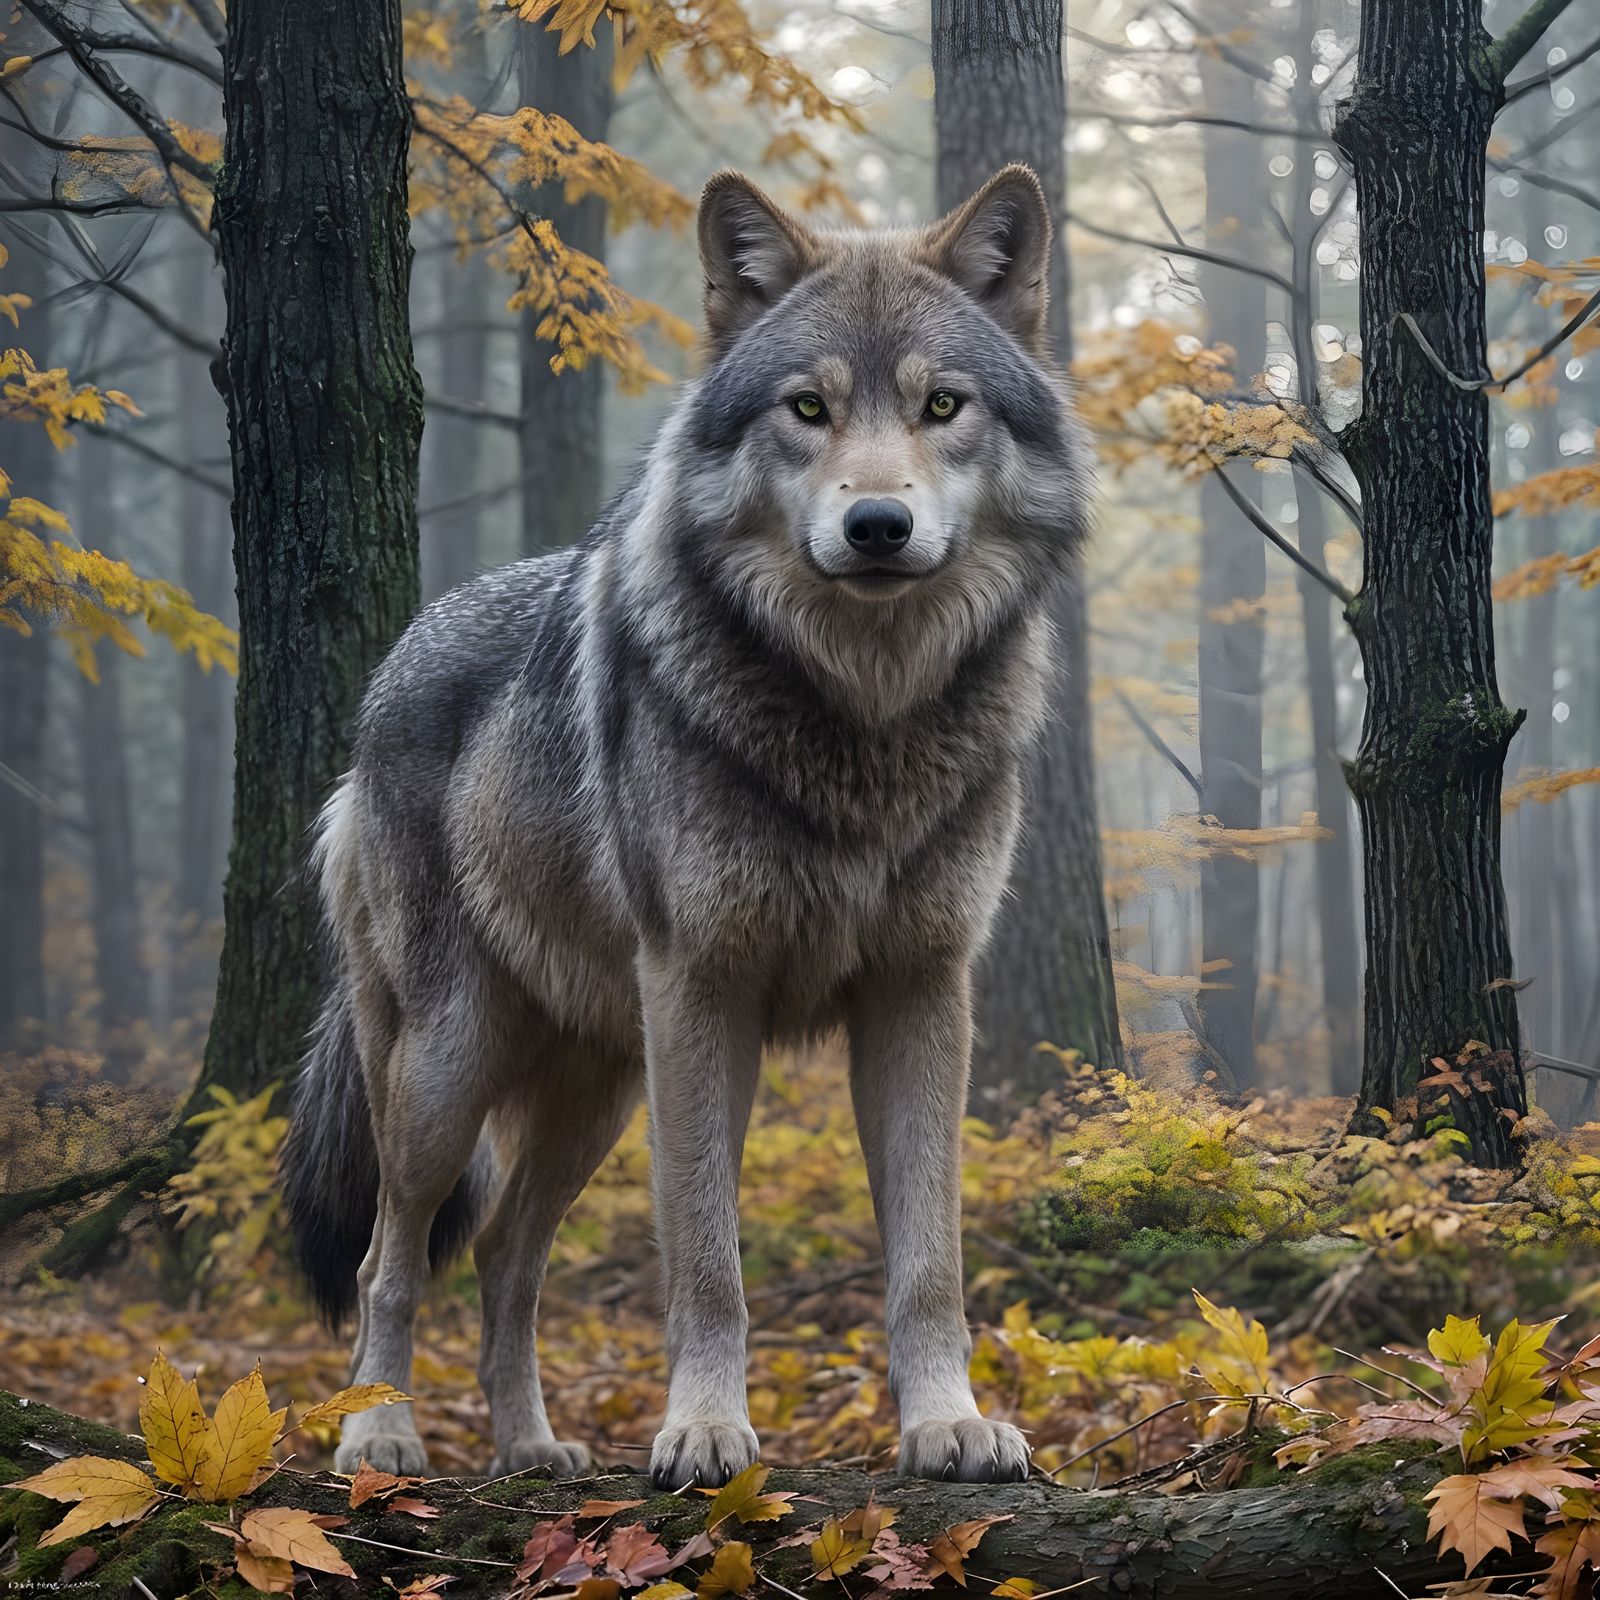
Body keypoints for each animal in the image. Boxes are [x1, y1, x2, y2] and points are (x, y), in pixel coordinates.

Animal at [280, 162, 1093, 1489]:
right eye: (808, 408)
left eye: (942, 406)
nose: (878, 524)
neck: (861, 718)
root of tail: (390, 668)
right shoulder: (705, 991)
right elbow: (708, 1258)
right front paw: (705, 1428)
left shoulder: (924, 989)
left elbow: (930, 1260)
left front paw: (948, 1422)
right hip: (451, 1065)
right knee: (387, 1255)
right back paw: (378, 1433)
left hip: (599, 1089)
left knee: (505, 1256)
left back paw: (531, 1449)